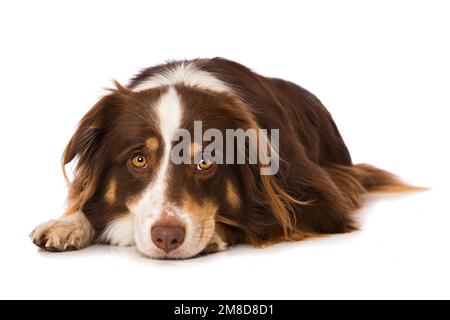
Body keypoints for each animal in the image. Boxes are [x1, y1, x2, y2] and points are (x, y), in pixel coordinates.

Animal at [29, 57, 414, 258]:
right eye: (139, 160)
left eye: (205, 162)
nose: (166, 238)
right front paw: (67, 223)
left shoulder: (321, 199)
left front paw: (212, 233)